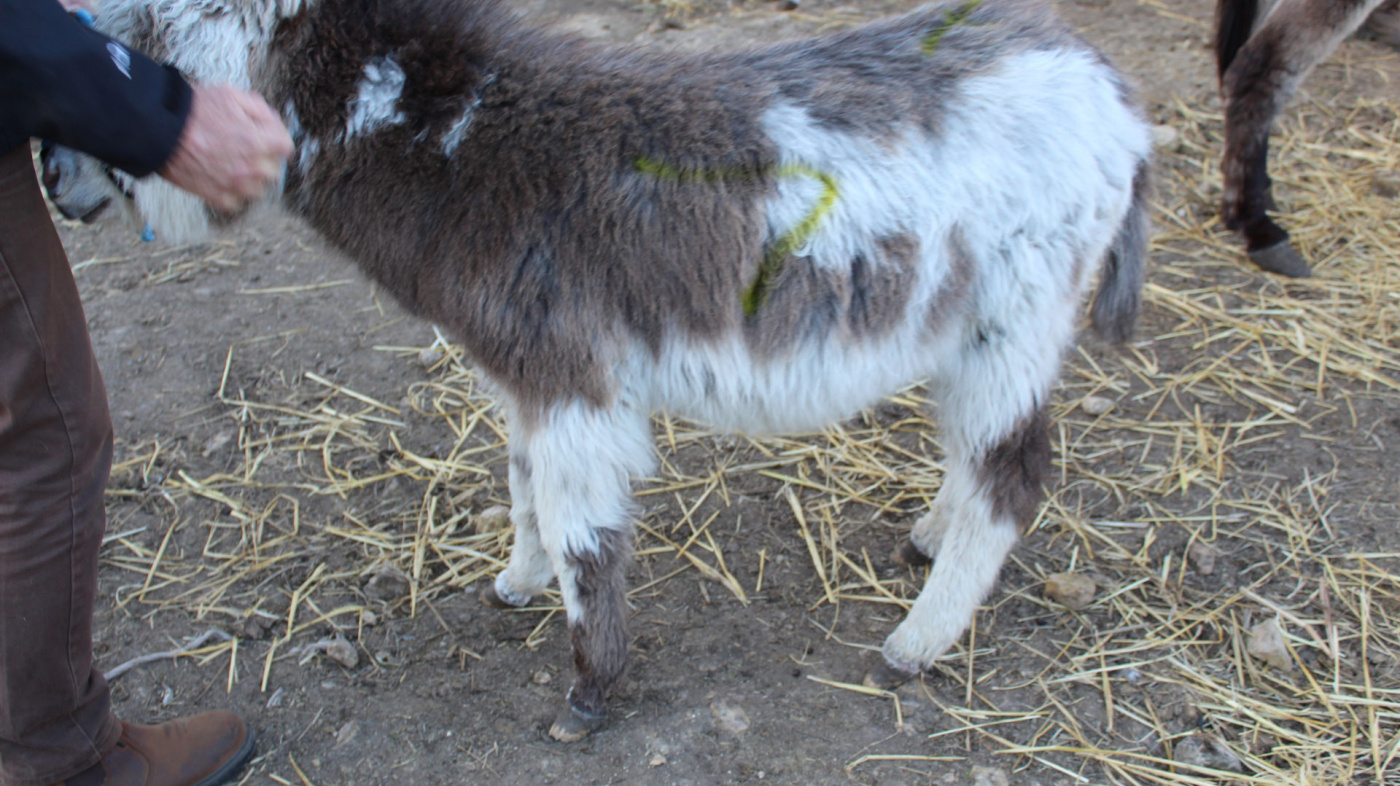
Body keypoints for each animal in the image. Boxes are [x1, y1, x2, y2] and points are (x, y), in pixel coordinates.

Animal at [49, 0, 1153, 739]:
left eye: (133, 41)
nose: (59, 189)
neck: (463, 147)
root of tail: (1106, 88)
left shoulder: (571, 380)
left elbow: (587, 534)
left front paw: (588, 692)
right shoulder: (520, 376)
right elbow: (524, 486)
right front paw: (515, 582)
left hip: (1012, 320)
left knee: (1012, 477)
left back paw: (916, 644)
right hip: (970, 332)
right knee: (978, 462)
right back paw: (929, 538)